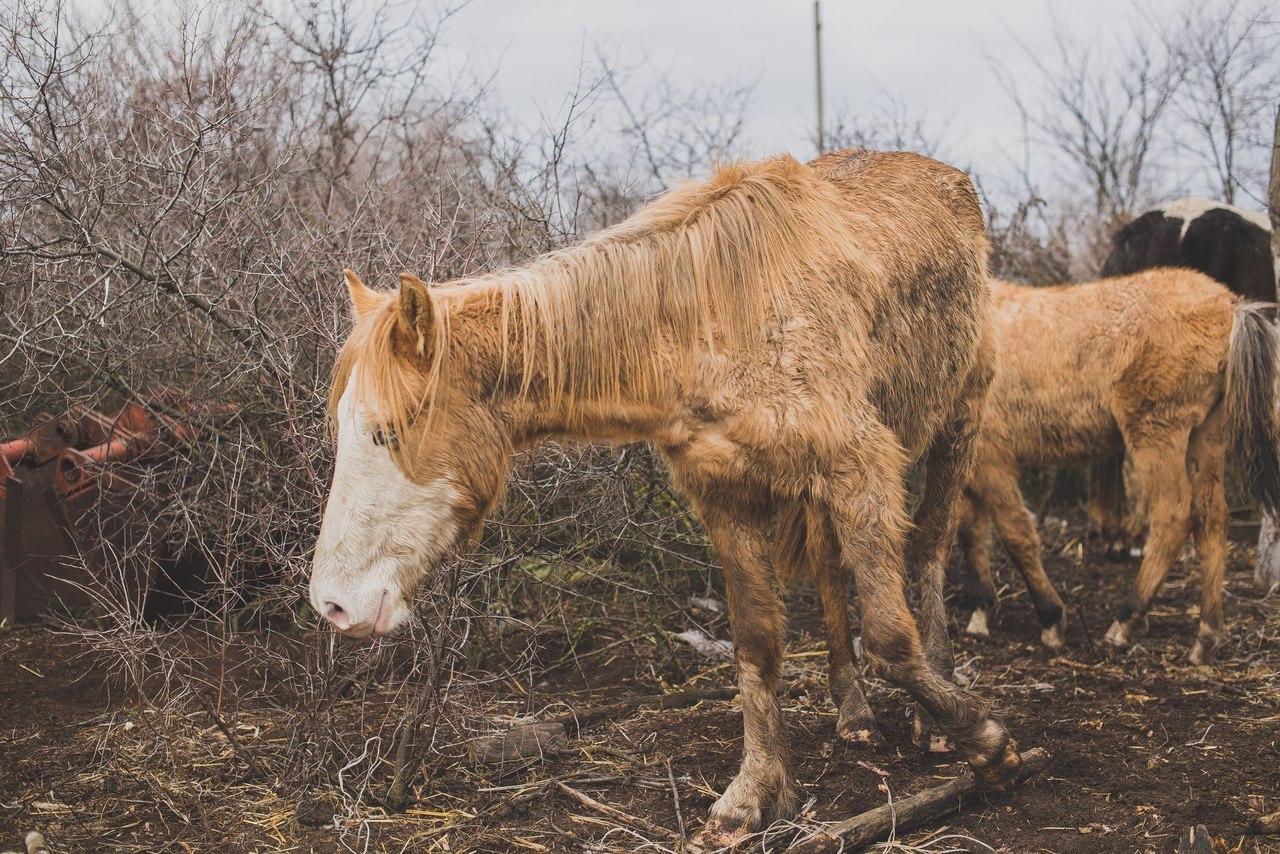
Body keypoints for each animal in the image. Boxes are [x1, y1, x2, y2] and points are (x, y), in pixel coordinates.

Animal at [314, 150, 1024, 845]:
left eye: (387, 432)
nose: (334, 605)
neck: (712, 321)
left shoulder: (861, 466)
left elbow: (888, 637)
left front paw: (989, 747)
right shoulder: (728, 497)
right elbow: (756, 644)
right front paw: (753, 794)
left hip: (957, 424)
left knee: (930, 550)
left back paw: (940, 710)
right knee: (829, 571)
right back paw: (853, 712)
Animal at [962, 270, 1280, 665]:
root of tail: (1229, 304)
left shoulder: (993, 458)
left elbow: (1014, 534)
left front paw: (1051, 618)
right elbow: (971, 533)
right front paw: (981, 610)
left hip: (1156, 433)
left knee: (1173, 516)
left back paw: (1127, 619)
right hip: (1205, 436)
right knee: (1212, 520)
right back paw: (1205, 636)